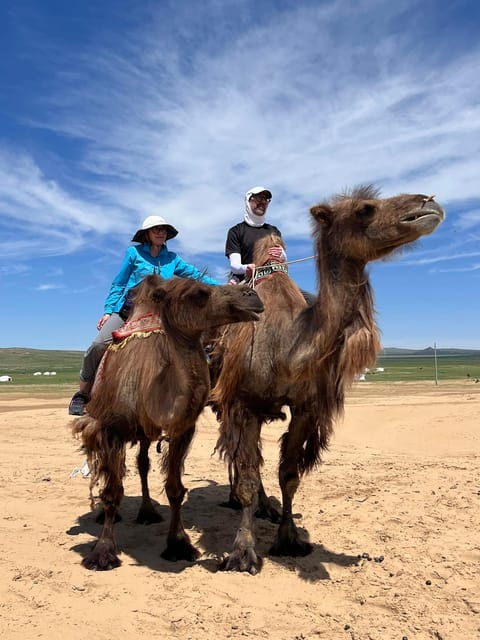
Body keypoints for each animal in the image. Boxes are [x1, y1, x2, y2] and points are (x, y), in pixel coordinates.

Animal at [72, 274, 263, 571]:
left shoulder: (182, 429)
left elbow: (175, 490)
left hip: (144, 433)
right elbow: (113, 492)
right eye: (200, 293)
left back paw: (148, 512)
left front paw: (178, 544)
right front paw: (102, 552)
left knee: (142, 463)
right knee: (107, 470)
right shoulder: (112, 429)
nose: (251, 295)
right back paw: (106, 515)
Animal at [210, 185, 445, 574]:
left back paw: (265, 507)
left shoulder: (306, 407)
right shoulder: (242, 403)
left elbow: (288, 475)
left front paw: (289, 539)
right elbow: (247, 478)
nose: (429, 203)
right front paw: (242, 553)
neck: (287, 343)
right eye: (366, 209)